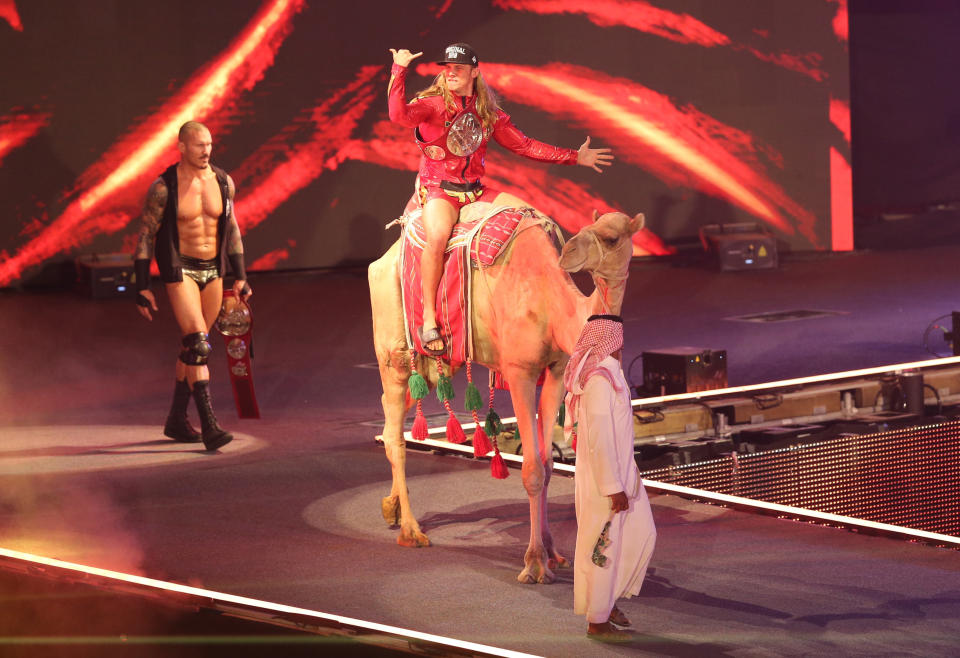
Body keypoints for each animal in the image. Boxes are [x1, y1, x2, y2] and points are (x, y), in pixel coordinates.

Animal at [368, 202, 644, 580]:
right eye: (589, 228)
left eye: (612, 236)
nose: (569, 253)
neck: (552, 305)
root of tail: (382, 258)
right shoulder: (519, 373)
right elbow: (532, 470)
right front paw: (534, 563)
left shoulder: (555, 372)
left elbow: (547, 466)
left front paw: (554, 553)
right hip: (394, 349)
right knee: (396, 429)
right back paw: (412, 531)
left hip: (439, 362)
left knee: (390, 414)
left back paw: (391, 507)